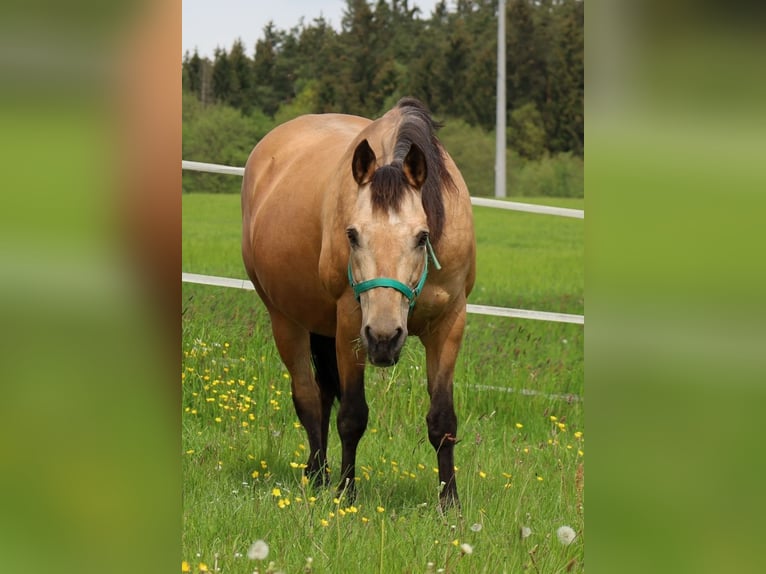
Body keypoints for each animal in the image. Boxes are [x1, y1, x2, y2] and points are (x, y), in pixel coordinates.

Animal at [243, 98, 476, 508]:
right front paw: (345, 493)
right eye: (352, 235)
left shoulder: (450, 324)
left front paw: (450, 503)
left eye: (422, 237)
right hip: (286, 319)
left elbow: (442, 420)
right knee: (308, 397)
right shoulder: (351, 323)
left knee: (321, 394)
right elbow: (352, 415)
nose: (384, 338)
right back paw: (319, 475)